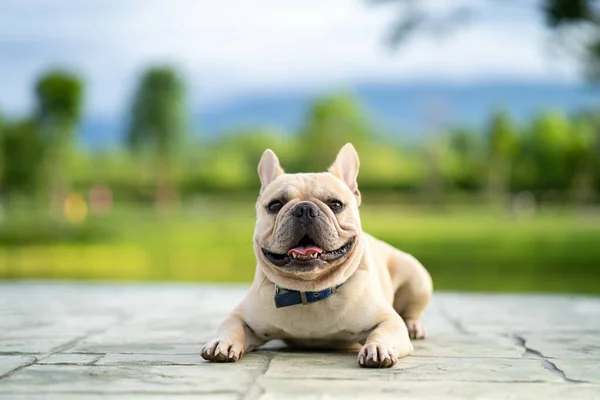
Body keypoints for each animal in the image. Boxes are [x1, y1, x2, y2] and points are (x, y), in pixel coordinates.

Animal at [202, 144, 432, 368]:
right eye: (275, 205)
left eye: (336, 204)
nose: (304, 209)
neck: (310, 290)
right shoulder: (241, 317)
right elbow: (232, 327)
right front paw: (222, 342)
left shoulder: (388, 320)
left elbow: (382, 331)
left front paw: (377, 348)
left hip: (417, 280)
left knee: (412, 312)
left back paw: (414, 327)